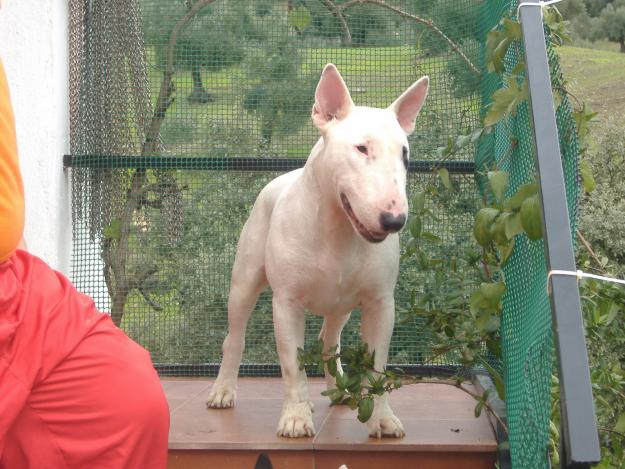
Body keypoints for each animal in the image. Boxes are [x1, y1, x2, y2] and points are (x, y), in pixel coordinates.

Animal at [206, 64, 428, 436]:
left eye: (405, 153)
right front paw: (296, 418)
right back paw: (223, 391)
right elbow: (291, 365)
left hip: (341, 307)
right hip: (244, 281)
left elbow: (378, 365)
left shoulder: (381, 304)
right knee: (234, 336)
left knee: (329, 341)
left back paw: (338, 390)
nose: (394, 220)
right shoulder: (286, 304)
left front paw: (382, 418)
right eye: (361, 148)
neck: (338, 232)